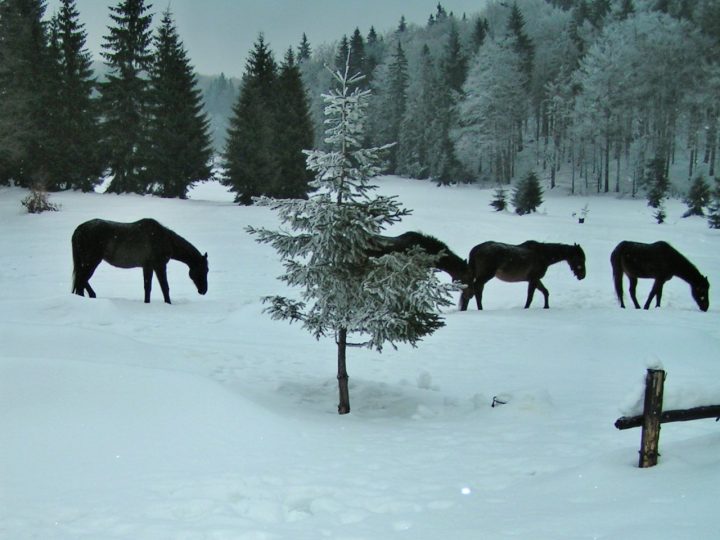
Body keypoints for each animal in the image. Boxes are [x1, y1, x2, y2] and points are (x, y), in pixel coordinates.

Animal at [71, 218, 208, 304]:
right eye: (204, 270)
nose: (204, 290)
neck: (165, 240)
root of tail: (79, 230)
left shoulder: (148, 267)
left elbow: (147, 287)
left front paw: (147, 303)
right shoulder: (160, 266)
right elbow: (165, 287)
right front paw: (168, 303)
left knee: (81, 281)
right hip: (92, 261)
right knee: (81, 281)